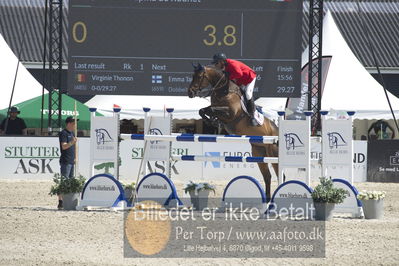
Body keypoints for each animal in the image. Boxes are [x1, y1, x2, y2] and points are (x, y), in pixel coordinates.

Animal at [189, 63, 280, 201]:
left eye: (199, 76)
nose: (190, 92)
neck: (223, 90)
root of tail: (277, 129)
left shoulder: (229, 113)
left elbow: (212, 110)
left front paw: (213, 121)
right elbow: (203, 110)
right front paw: (212, 121)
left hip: (273, 153)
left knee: (279, 174)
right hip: (258, 152)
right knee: (267, 176)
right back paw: (268, 200)